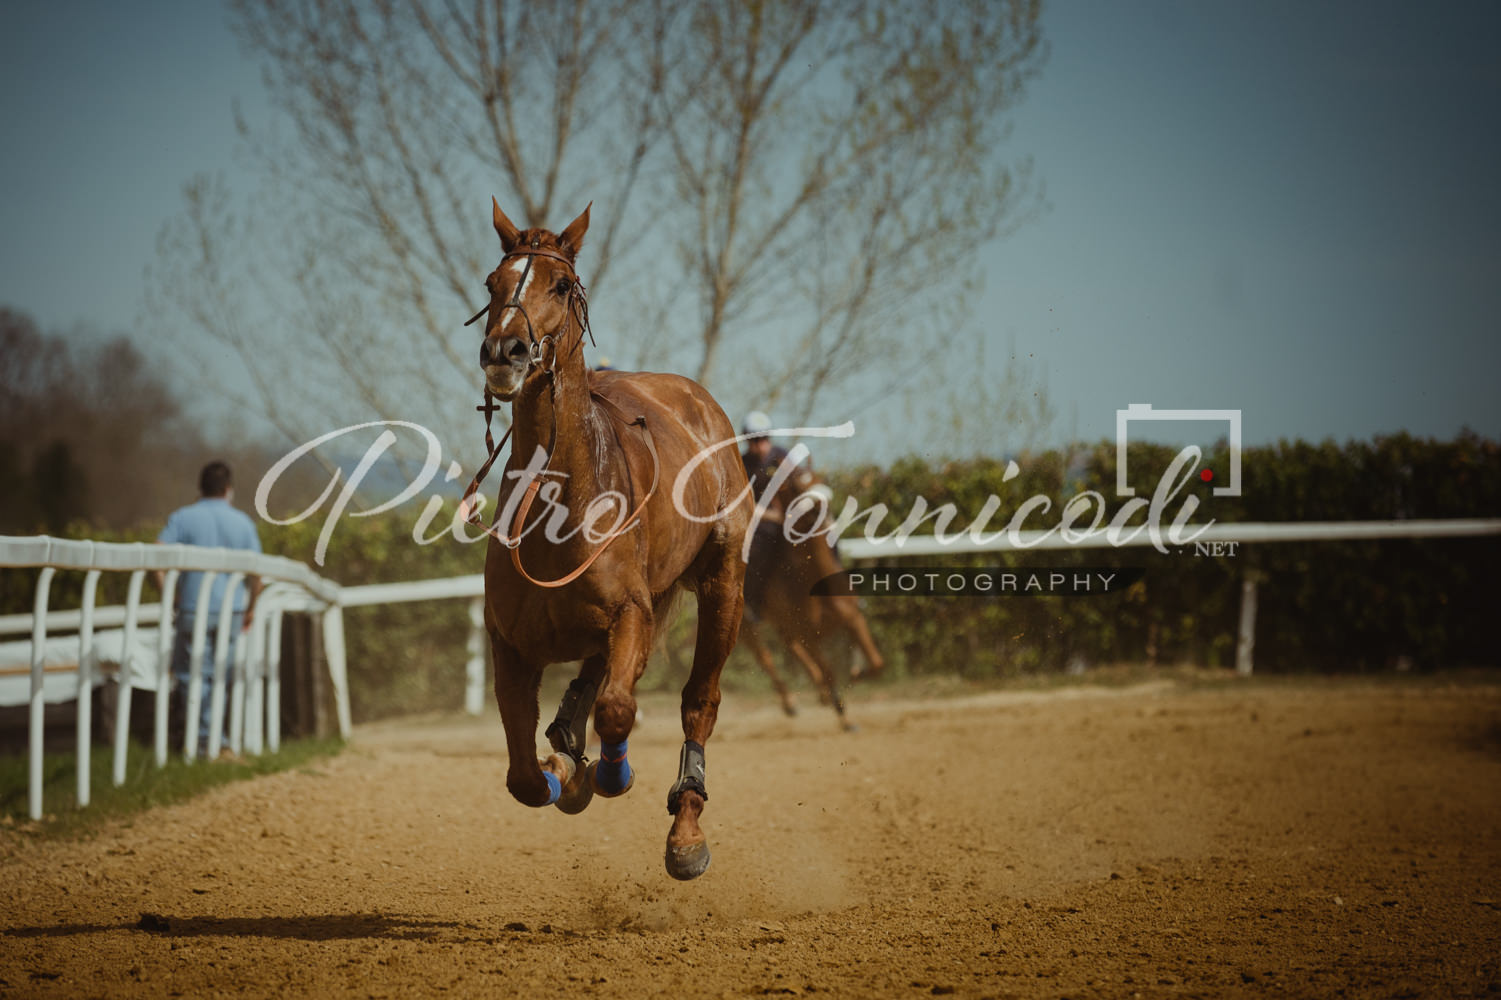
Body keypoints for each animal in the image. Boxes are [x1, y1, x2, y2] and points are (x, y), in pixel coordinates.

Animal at [468, 198, 750, 876]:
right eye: (492, 284)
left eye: (561, 284)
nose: (505, 351)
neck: (557, 506)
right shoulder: (509, 643)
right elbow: (523, 775)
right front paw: (560, 773)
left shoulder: (631, 612)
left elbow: (620, 710)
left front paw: (607, 775)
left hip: (723, 583)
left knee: (699, 699)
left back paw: (686, 828)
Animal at [738, 456, 876, 729]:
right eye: (796, 487)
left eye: (819, 478)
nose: (822, 506)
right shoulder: (808, 635)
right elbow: (829, 671)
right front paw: (844, 717)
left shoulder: (853, 619)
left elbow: (876, 663)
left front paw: (856, 676)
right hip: (746, 625)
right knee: (765, 657)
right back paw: (791, 702)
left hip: (784, 625)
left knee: (790, 648)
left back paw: (820, 693)